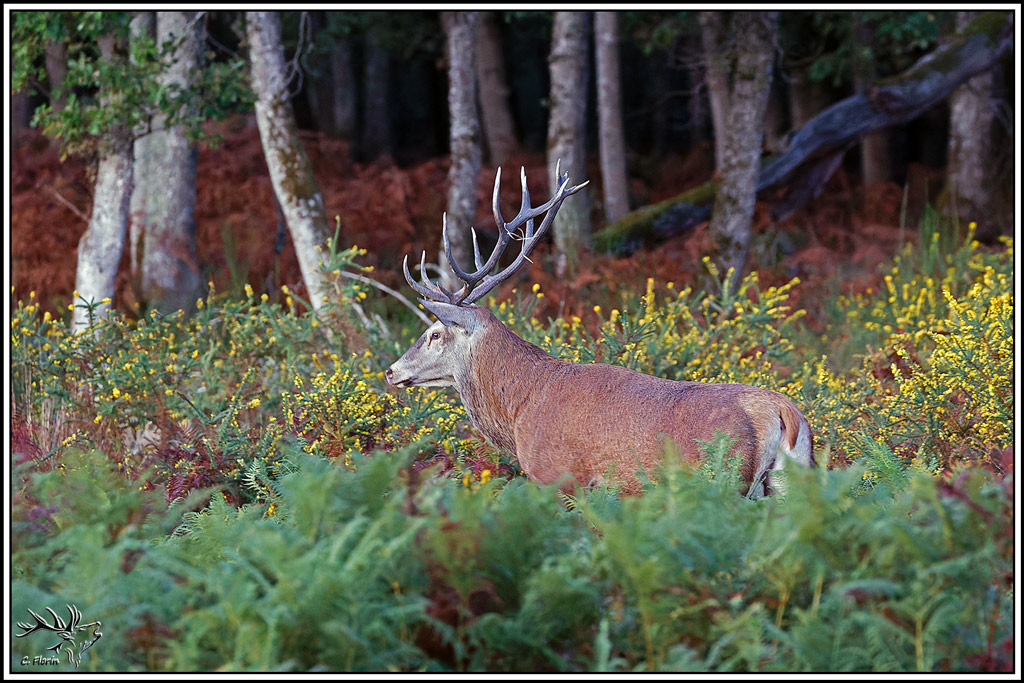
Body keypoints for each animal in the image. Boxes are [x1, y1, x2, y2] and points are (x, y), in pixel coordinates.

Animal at [385, 163, 814, 497]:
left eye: (435, 333)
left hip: (725, 479)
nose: (391, 371)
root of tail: (784, 412)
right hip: (788, 479)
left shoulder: (558, 476)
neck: (521, 408)